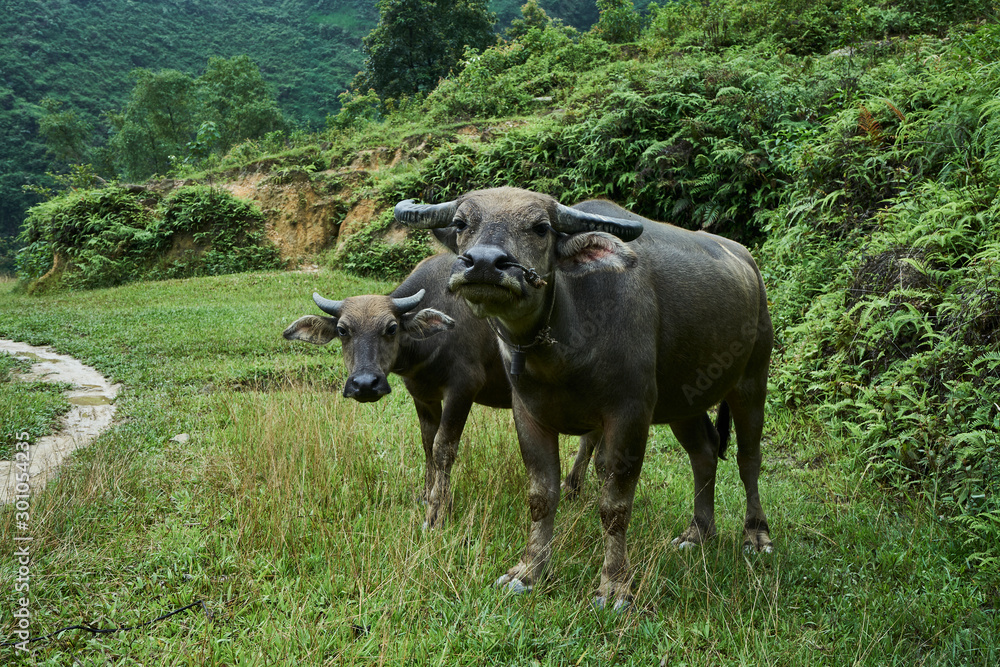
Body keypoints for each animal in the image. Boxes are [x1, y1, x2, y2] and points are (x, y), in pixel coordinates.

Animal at [282, 253, 600, 528]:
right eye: (343, 330)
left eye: (391, 328)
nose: (364, 384)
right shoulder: (423, 395)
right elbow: (427, 444)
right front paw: (426, 495)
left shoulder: (463, 389)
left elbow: (443, 448)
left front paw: (438, 511)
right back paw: (573, 488)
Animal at [395, 187, 773, 609]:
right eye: (461, 223)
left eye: (541, 228)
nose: (484, 264)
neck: (563, 345)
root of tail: (750, 266)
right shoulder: (528, 414)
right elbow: (541, 496)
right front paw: (528, 571)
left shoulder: (630, 413)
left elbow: (614, 505)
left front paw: (614, 585)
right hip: (683, 402)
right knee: (704, 453)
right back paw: (698, 532)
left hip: (752, 379)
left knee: (748, 458)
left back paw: (756, 535)